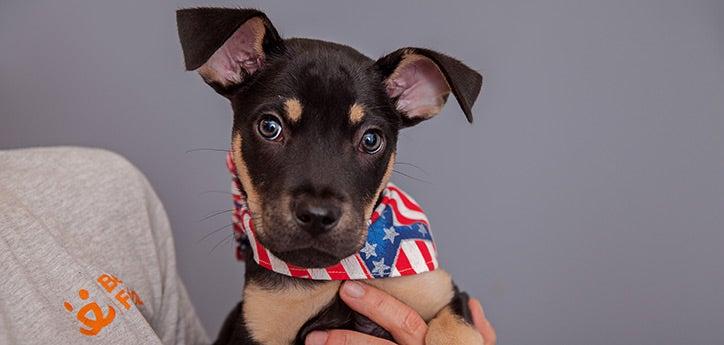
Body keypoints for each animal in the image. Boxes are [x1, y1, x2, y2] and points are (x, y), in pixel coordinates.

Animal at [175, 8, 484, 344]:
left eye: (371, 140)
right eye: (270, 127)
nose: (317, 216)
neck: (331, 274)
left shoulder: (441, 292)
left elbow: (455, 329)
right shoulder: (259, 322)